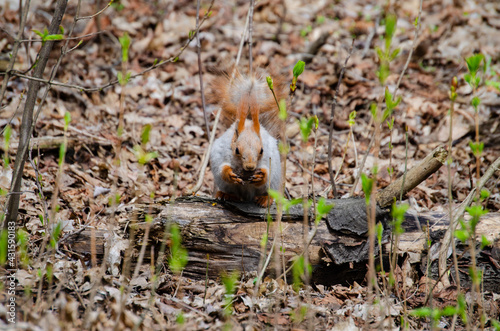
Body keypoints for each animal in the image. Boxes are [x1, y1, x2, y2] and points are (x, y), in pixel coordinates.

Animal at [207, 67, 288, 208]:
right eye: (237, 150)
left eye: (261, 150)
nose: (250, 166)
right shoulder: (220, 152)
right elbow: (221, 169)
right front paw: (229, 174)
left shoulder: (269, 157)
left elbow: (267, 172)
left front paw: (261, 176)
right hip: (225, 185)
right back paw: (227, 195)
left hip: (274, 180)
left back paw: (264, 199)